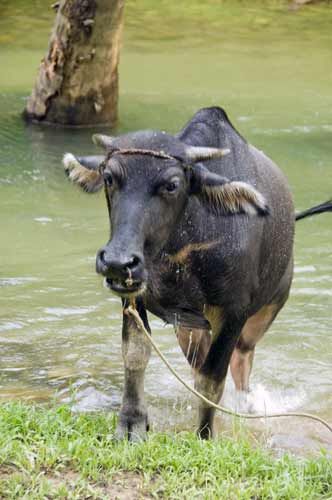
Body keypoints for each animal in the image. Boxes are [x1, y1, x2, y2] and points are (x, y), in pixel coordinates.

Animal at [63, 106, 330, 442]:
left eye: (172, 184)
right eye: (109, 177)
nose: (117, 261)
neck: (184, 246)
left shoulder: (234, 312)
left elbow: (212, 379)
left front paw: (204, 434)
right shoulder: (134, 296)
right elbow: (136, 353)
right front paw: (131, 423)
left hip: (264, 313)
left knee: (241, 360)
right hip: (190, 327)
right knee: (197, 362)